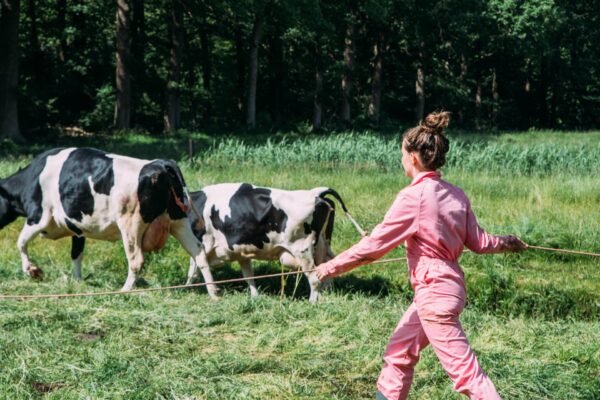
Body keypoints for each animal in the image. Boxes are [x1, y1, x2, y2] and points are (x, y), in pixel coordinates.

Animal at [0, 147, 218, 294]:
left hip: (131, 224)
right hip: (178, 220)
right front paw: (77, 281)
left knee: (136, 260)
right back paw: (213, 292)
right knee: (199, 252)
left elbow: (20, 242)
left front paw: (33, 271)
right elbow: (76, 255)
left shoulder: (39, 218)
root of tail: (161, 163)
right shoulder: (77, 228)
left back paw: (124, 290)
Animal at [185, 183, 364, 302]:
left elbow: (197, 269)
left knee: (314, 277)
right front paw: (255, 296)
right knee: (328, 265)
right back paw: (328, 294)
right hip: (323, 243)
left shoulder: (200, 245)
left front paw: (195, 291)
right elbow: (248, 274)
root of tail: (315, 193)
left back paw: (312, 302)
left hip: (302, 250)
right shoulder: (241, 250)